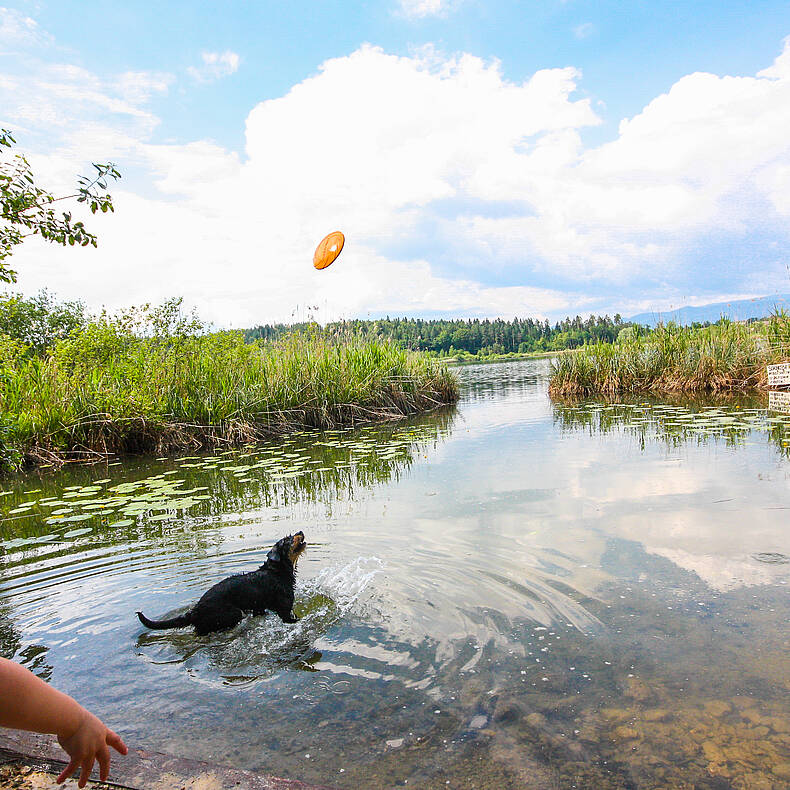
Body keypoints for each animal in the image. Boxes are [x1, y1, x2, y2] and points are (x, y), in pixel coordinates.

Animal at [135, 532, 308, 636]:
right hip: (234, 613)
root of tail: (196, 610)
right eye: (288, 540)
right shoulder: (285, 611)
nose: (300, 532)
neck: (277, 571)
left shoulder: (259, 608)